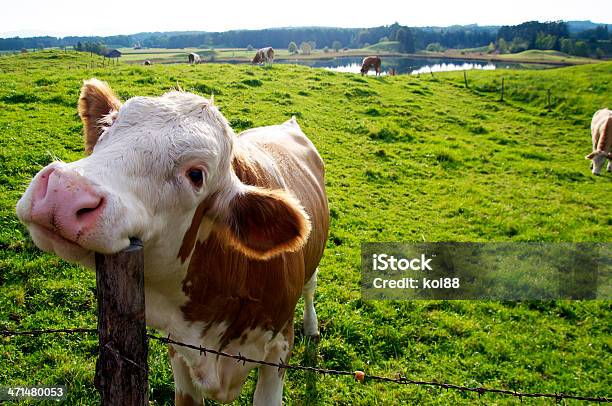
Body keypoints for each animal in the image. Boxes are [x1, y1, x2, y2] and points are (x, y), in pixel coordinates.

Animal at [15, 77, 330, 404]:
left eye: (196, 175)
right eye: (109, 127)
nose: (63, 191)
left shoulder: (278, 349)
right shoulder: (179, 349)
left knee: (310, 287)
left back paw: (312, 326)